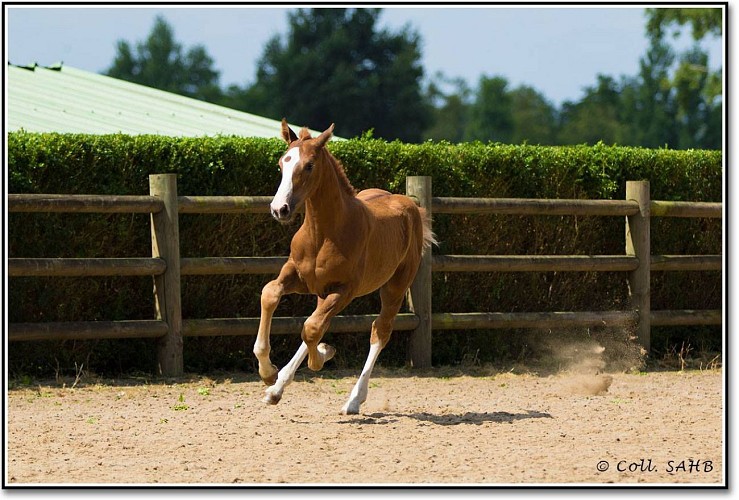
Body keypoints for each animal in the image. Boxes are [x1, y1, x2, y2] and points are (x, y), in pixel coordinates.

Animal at [253, 119, 435, 415]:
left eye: (309, 165)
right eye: (282, 164)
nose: (280, 209)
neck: (323, 233)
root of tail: (412, 207)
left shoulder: (344, 290)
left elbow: (312, 329)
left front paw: (321, 356)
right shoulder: (298, 277)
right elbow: (271, 295)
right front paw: (269, 373)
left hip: (395, 287)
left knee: (379, 331)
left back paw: (353, 400)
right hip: (323, 292)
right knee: (318, 322)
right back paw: (277, 389)